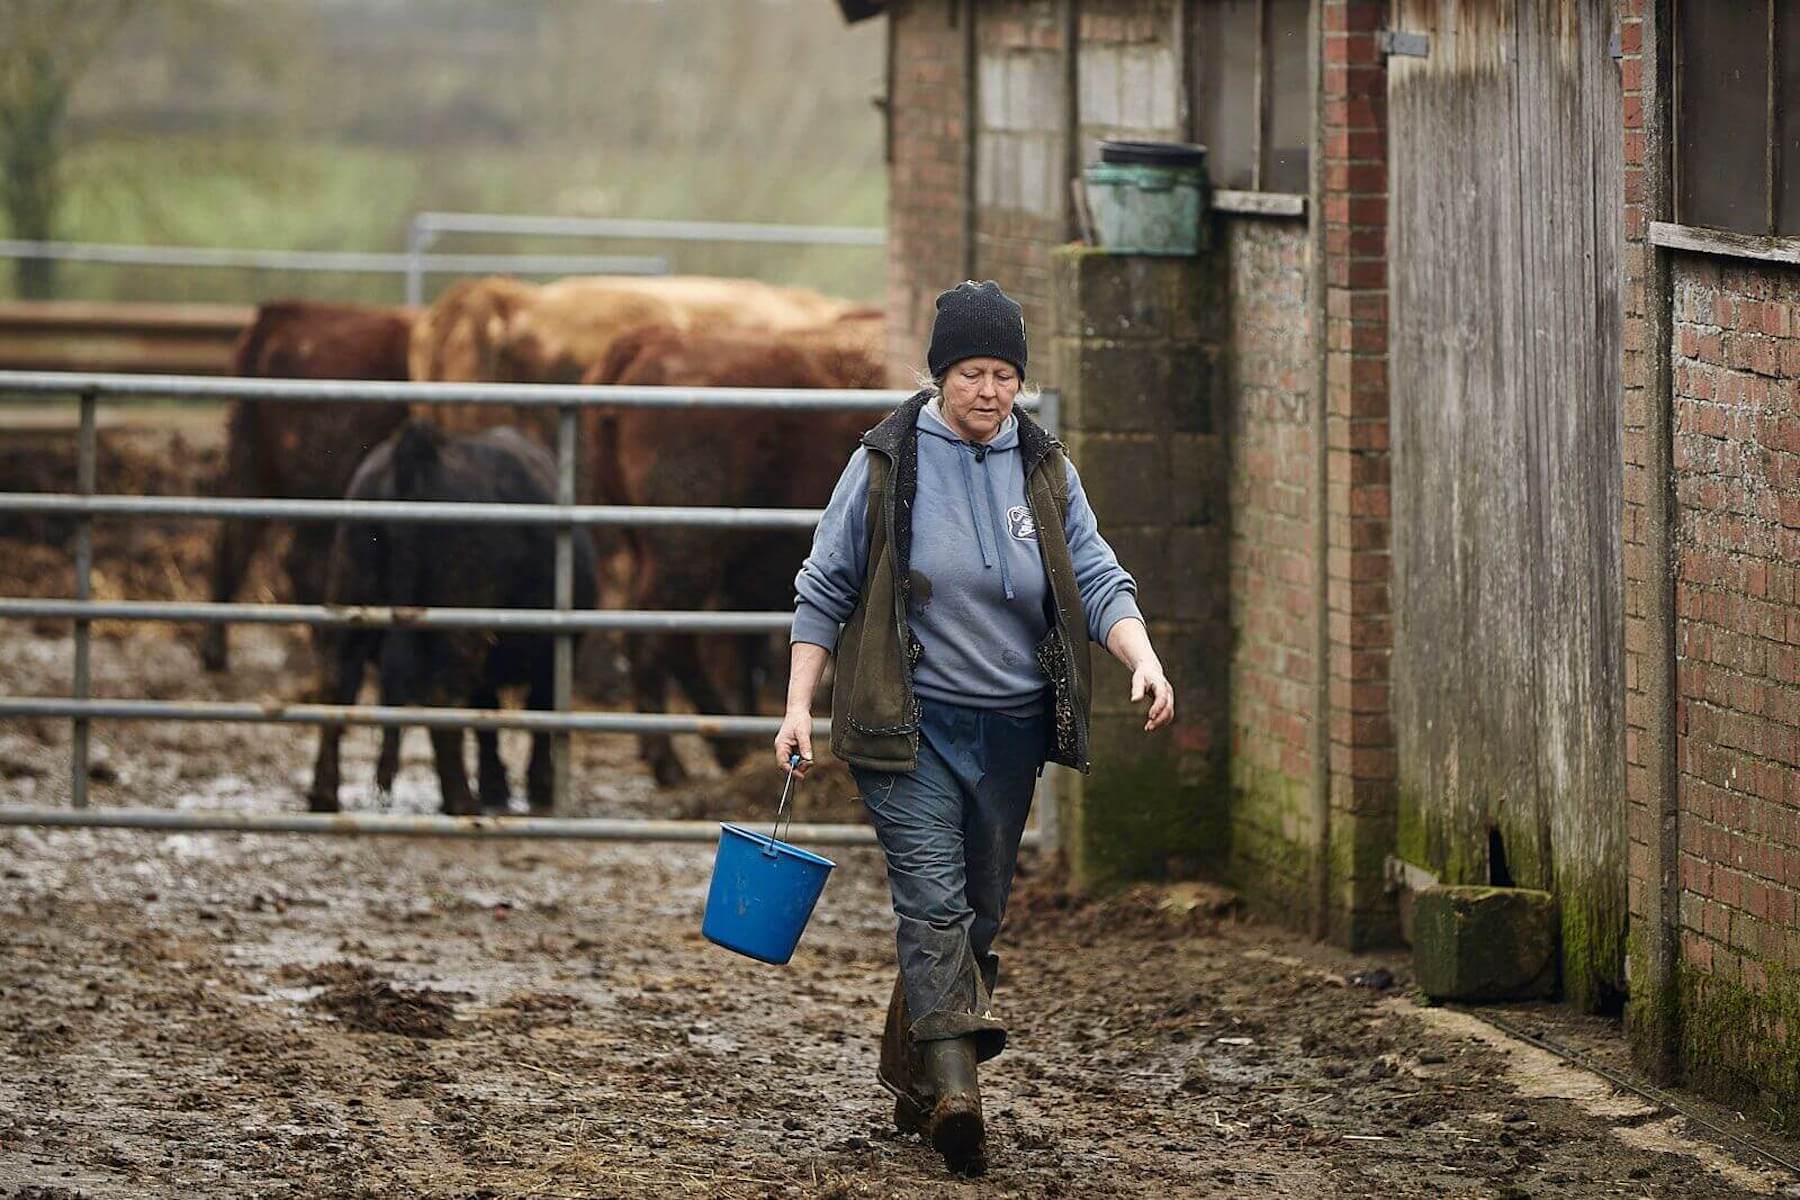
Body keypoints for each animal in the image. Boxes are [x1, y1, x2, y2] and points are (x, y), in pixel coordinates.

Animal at [204, 298, 414, 676]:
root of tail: (282, 313)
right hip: (325, 485)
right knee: (304, 562)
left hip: (250, 465)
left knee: (234, 541)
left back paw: (215, 651)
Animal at [306, 420, 594, 816]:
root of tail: (420, 450)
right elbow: (534, 713)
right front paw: (538, 786)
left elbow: (486, 721)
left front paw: (496, 786)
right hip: (461, 623)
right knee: (445, 697)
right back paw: (460, 800)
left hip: (352, 598)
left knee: (336, 684)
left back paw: (323, 794)